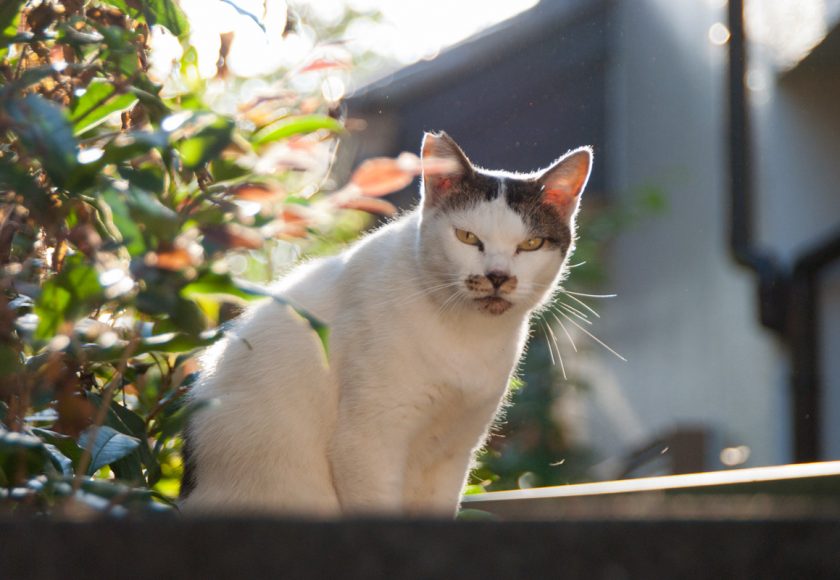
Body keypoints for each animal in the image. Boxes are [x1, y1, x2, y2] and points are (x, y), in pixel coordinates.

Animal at [181, 131, 592, 516]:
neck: (465, 338)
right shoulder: (367, 444)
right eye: (467, 237)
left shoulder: (454, 452)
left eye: (531, 244)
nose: (497, 276)